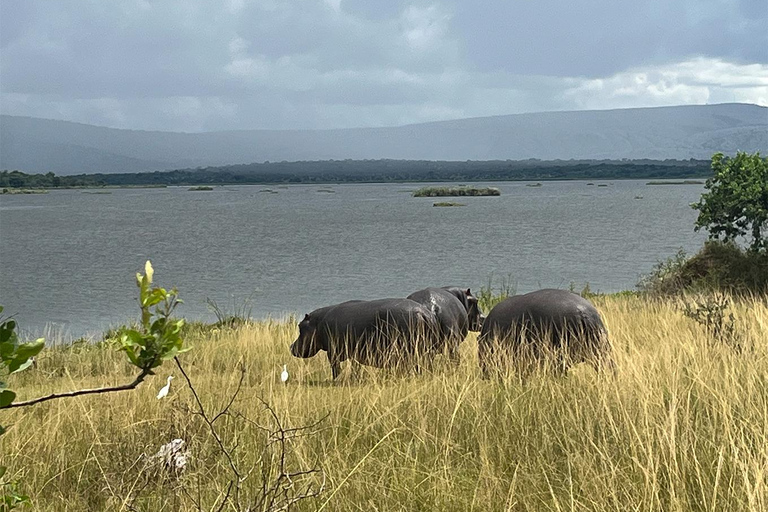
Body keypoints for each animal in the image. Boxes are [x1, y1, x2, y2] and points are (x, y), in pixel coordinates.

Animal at [292, 298, 440, 378]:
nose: (291, 346)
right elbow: (355, 367)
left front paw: (336, 380)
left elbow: (335, 368)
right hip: (427, 351)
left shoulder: (333, 352)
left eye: (300, 326)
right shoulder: (354, 352)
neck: (317, 322)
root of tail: (423, 313)